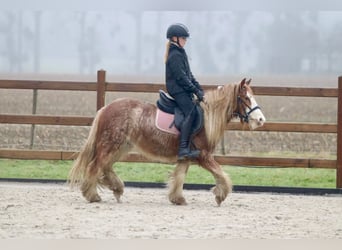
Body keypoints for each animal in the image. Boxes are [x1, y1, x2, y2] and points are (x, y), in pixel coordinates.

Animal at [69, 77, 264, 205]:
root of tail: (105, 108)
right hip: (110, 146)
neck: (207, 118)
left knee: (105, 167)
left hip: (121, 147)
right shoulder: (204, 156)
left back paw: (116, 188)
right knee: (95, 166)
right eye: (246, 98)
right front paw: (220, 195)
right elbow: (222, 175)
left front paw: (177, 198)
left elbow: (179, 176)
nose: (261, 120)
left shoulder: (186, 158)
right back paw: (92, 195)